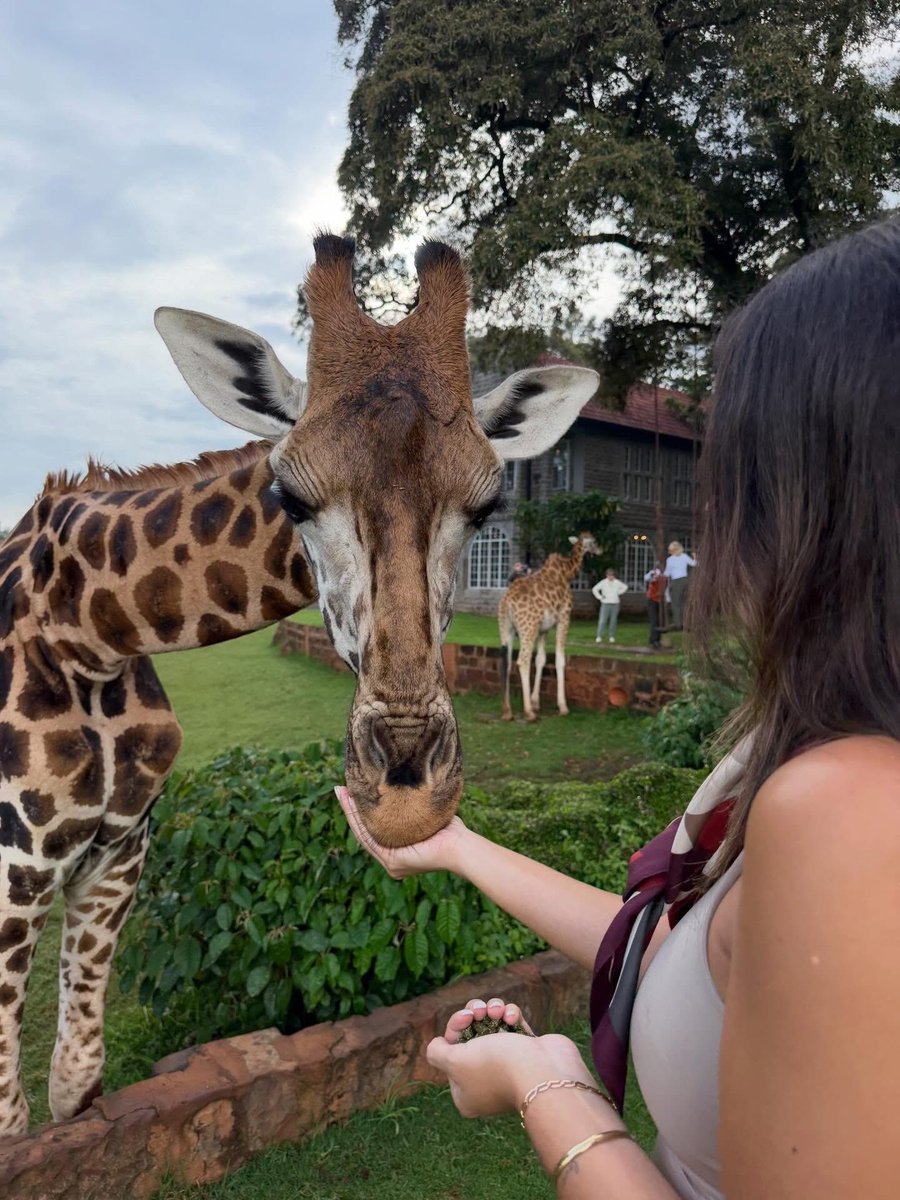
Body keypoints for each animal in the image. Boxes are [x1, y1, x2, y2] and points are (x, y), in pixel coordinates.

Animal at [498, 532, 600, 722]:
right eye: (594, 541)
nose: (600, 550)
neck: (567, 573)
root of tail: (507, 602)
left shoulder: (543, 629)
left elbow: (541, 660)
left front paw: (536, 702)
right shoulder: (564, 618)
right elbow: (560, 660)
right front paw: (562, 707)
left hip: (506, 628)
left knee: (506, 662)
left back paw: (507, 711)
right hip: (527, 628)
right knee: (522, 661)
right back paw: (528, 712)